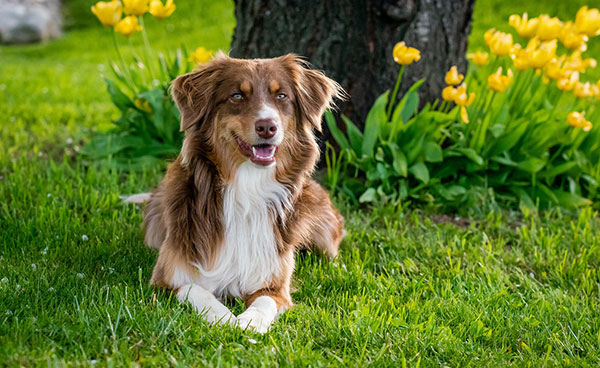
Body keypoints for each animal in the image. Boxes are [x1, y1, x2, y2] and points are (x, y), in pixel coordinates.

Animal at [140, 52, 344, 334]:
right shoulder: (166, 279)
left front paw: (249, 322)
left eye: (281, 96)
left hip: (324, 234)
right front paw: (224, 319)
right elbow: (197, 292)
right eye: (237, 95)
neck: (247, 189)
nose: (267, 127)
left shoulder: (275, 285)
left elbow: (264, 303)